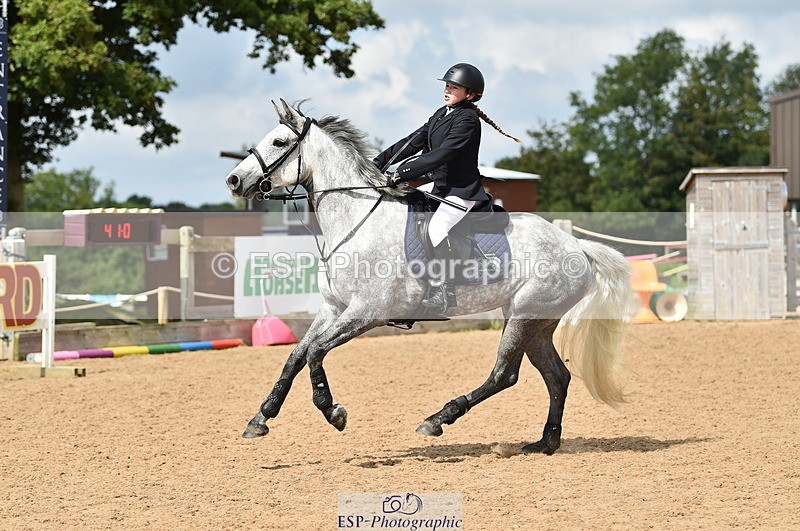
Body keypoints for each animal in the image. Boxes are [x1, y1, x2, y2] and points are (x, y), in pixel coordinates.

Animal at [225, 99, 632, 454]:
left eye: (279, 142)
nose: (233, 180)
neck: (357, 220)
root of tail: (577, 246)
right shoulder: (333, 308)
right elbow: (296, 354)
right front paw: (261, 418)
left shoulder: (367, 311)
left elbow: (315, 352)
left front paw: (332, 411)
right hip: (536, 323)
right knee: (556, 377)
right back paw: (545, 442)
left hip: (524, 316)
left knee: (504, 375)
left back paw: (439, 419)